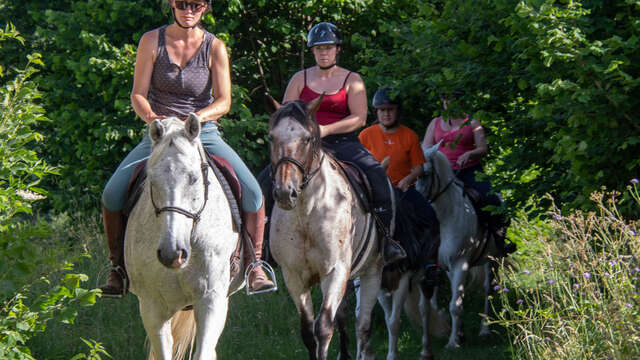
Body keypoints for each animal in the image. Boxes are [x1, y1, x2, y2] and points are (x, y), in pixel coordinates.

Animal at [266, 95, 384, 360]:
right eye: (271, 137)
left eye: (307, 139)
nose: (285, 192)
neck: (306, 214)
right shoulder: (294, 276)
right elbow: (308, 331)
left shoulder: (336, 271)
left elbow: (323, 328)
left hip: (372, 272)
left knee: (363, 326)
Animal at [416, 142, 500, 352]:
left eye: (425, 173)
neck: (446, 216)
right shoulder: (446, 266)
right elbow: (454, 300)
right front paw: (459, 334)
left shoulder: (460, 264)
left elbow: (455, 305)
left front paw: (453, 342)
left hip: (492, 259)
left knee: (488, 290)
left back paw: (485, 330)